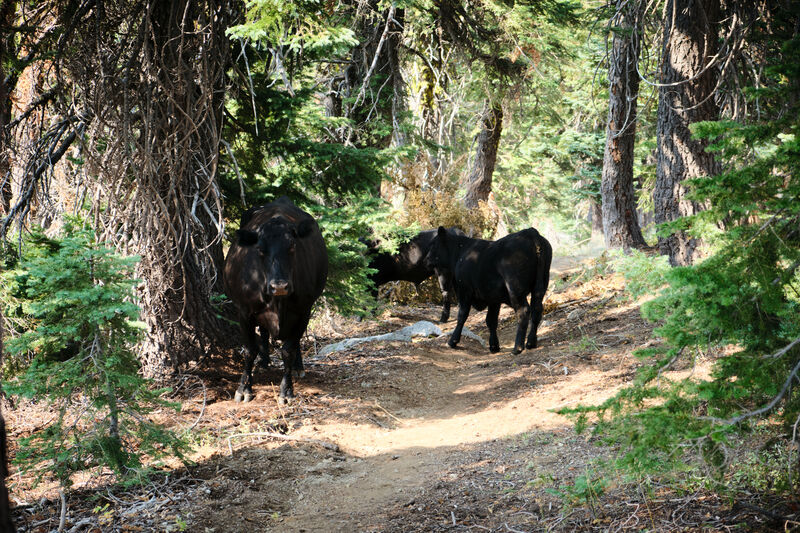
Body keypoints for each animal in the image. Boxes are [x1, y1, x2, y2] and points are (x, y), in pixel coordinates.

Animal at [223, 197, 326, 402]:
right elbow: (250, 350)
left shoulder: (304, 310)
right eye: (260, 249)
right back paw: (264, 362)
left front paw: (286, 391)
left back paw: (298, 367)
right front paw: (244, 389)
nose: (279, 286)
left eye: (292, 246)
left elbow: (288, 349)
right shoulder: (243, 311)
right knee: (263, 332)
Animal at [424, 224, 552, 354]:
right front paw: (494, 346)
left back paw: (518, 347)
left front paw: (453, 341)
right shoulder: (493, 297)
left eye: (433, 244)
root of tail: (531, 233)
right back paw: (531, 343)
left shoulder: (464, 290)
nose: (426, 260)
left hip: (515, 289)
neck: (460, 253)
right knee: (537, 309)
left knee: (523, 311)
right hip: (541, 285)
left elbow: (462, 316)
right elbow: (491, 320)